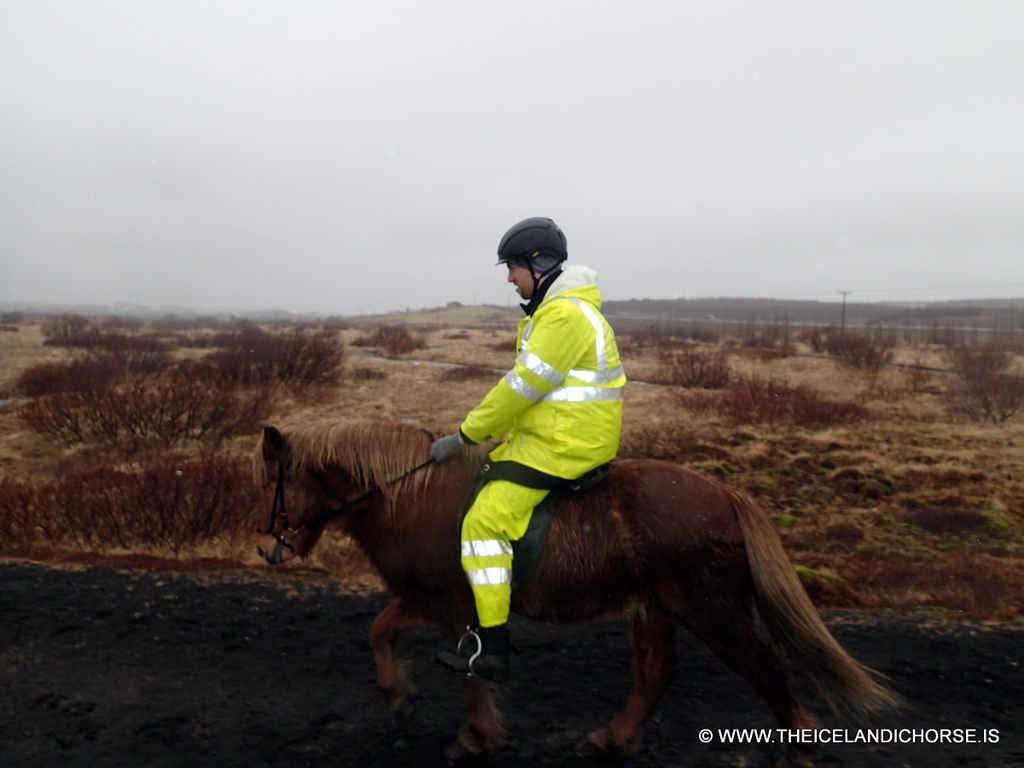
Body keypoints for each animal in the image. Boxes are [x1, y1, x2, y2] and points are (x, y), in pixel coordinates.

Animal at [251, 417, 901, 765]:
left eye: (267, 481)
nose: (264, 546)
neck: (410, 497)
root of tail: (723, 494)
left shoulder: (444, 601)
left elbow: (458, 671)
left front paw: (471, 733)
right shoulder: (428, 599)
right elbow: (380, 633)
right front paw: (404, 699)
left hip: (711, 609)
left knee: (762, 668)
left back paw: (801, 747)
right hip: (655, 608)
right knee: (656, 672)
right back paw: (614, 738)